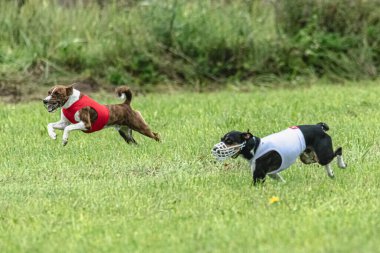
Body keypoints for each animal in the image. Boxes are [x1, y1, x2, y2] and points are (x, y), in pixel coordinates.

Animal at [211, 122, 348, 184]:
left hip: (322, 154)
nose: (214, 149)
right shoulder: (272, 174)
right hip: (308, 158)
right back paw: (330, 174)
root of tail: (319, 126)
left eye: (229, 140)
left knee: (339, 150)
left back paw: (341, 165)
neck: (255, 147)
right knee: (327, 162)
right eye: (222, 139)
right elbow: (282, 181)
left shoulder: (259, 175)